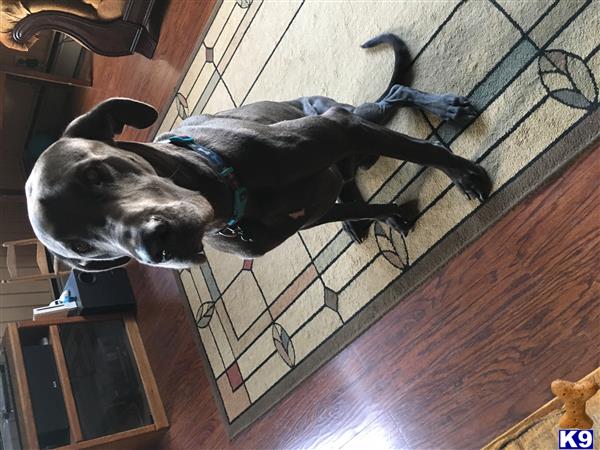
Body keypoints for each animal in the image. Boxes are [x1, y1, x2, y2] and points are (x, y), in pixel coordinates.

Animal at [25, 34, 490, 270]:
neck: (231, 199)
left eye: (95, 173)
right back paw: (354, 214)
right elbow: (366, 207)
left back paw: (447, 108)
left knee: (395, 95)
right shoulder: (312, 214)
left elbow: (427, 153)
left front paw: (464, 175)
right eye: (82, 248)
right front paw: (387, 213)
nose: (155, 247)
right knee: (349, 181)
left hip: (347, 115)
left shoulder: (339, 129)